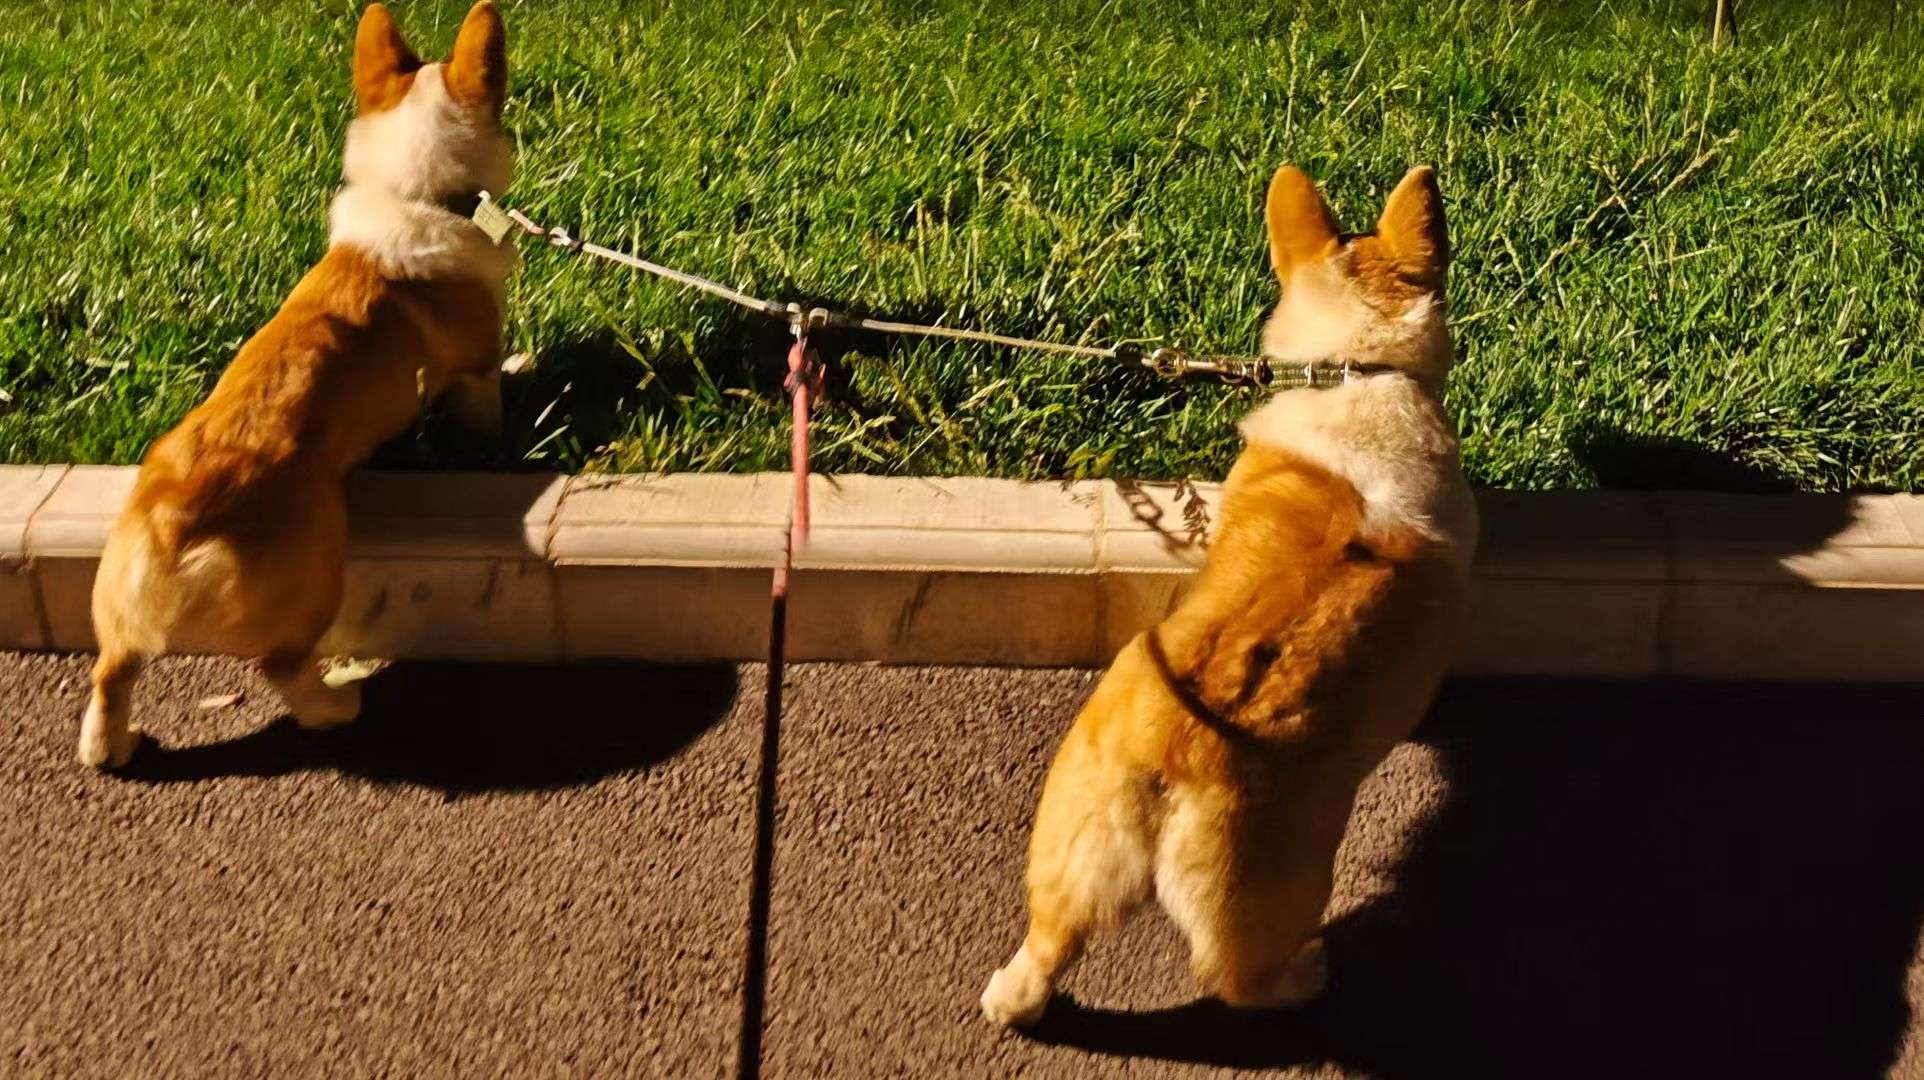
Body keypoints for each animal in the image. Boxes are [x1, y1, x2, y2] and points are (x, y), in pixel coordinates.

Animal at [78, 2, 514, 769]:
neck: (417, 194)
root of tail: (181, 513)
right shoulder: (477, 366)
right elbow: (489, 404)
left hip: (117, 602)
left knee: (112, 668)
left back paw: (109, 747)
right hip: (317, 570)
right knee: (280, 664)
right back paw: (338, 705)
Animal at [981, 165, 1477, 1025]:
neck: (1356, 368)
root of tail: (1172, 750)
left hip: (1074, 835)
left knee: (1042, 954)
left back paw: (1014, 997)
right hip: (1276, 882)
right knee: (1235, 980)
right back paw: (1305, 976)